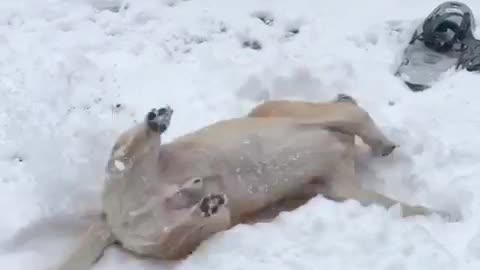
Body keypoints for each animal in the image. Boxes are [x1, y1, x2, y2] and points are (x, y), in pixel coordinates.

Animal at [54, 94, 456, 270]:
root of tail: (113, 221)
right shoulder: (324, 117)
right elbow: (358, 115)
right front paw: (383, 143)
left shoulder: (342, 188)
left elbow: (399, 205)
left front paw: (441, 215)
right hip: (136, 166)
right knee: (125, 152)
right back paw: (156, 124)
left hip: (194, 229)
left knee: (181, 227)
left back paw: (199, 199)